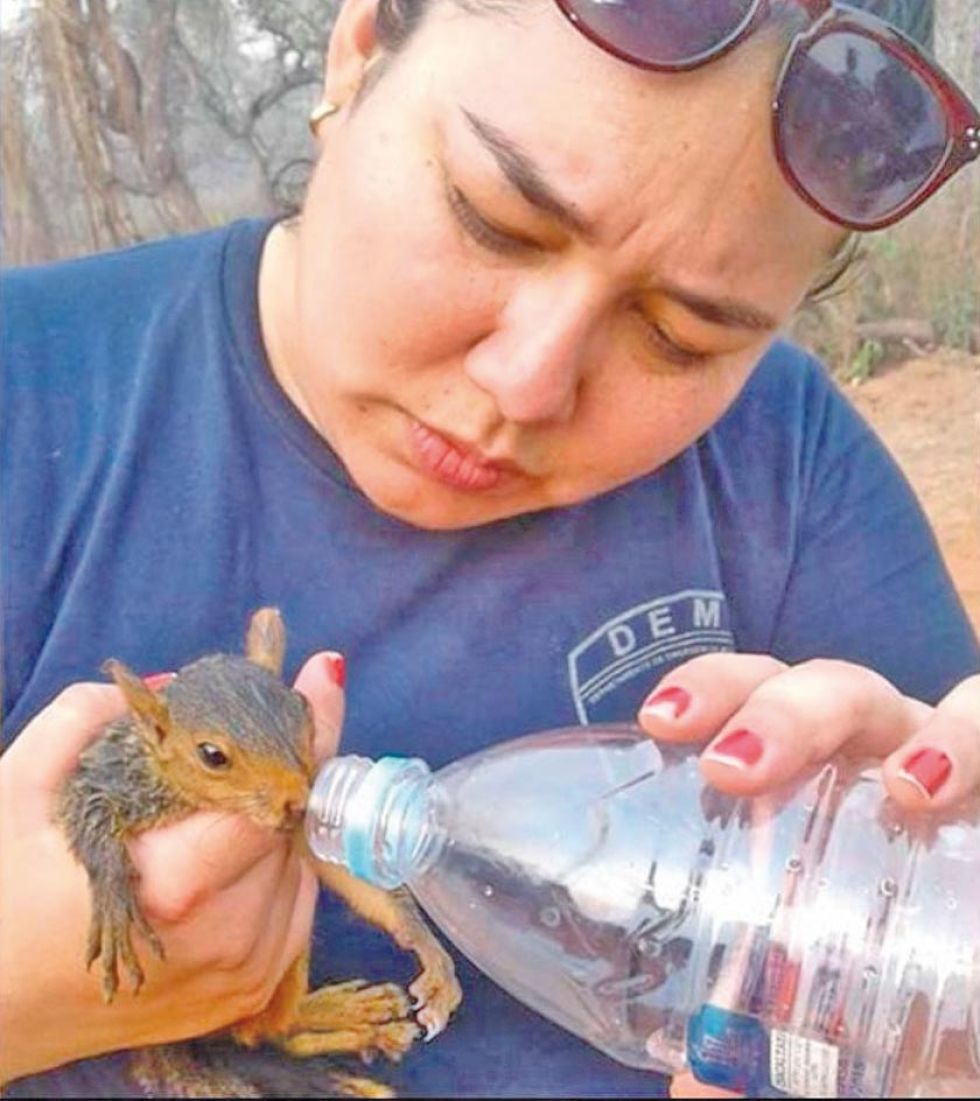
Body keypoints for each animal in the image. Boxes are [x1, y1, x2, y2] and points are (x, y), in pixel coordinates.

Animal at [49, 607, 462, 1099]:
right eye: (212, 755)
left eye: (302, 708)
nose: (299, 801)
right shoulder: (112, 780)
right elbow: (87, 810)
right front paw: (113, 893)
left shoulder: (302, 830)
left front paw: (430, 952)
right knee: (259, 1033)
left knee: (273, 1032)